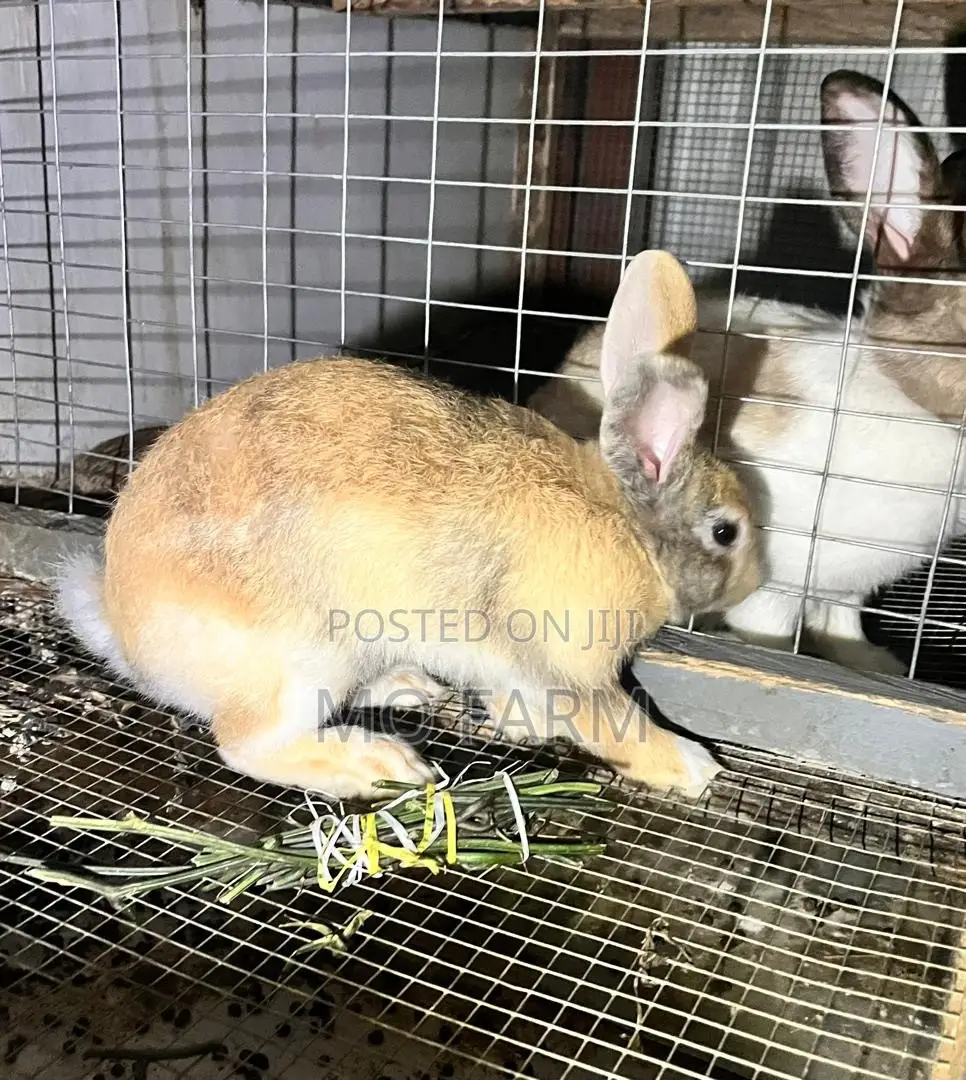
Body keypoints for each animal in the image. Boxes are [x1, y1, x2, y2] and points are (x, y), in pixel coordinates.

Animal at [52, 250, 761, 803]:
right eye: (726, 532)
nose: (755, 584)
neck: (624, 525)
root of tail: (130, 639)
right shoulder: (566, 665)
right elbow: (613, 721)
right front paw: (695, 768)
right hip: (304, 660)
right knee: (247, 744)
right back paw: (379, 764)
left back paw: (408, 687)